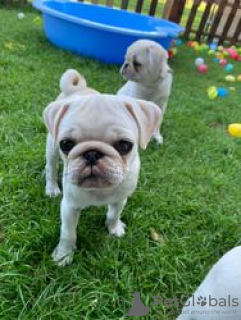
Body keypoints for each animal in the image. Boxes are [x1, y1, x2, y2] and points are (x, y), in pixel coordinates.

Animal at [43, 92, 162, 264]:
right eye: (66, 144)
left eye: (124, 145)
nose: (92, 154)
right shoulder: (69, 206)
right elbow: (68, 232)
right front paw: (64, 254)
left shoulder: (120, 199)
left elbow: (114, 214)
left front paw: (114, 228)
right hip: (51, 147)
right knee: (51, 167)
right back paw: (52, 188)